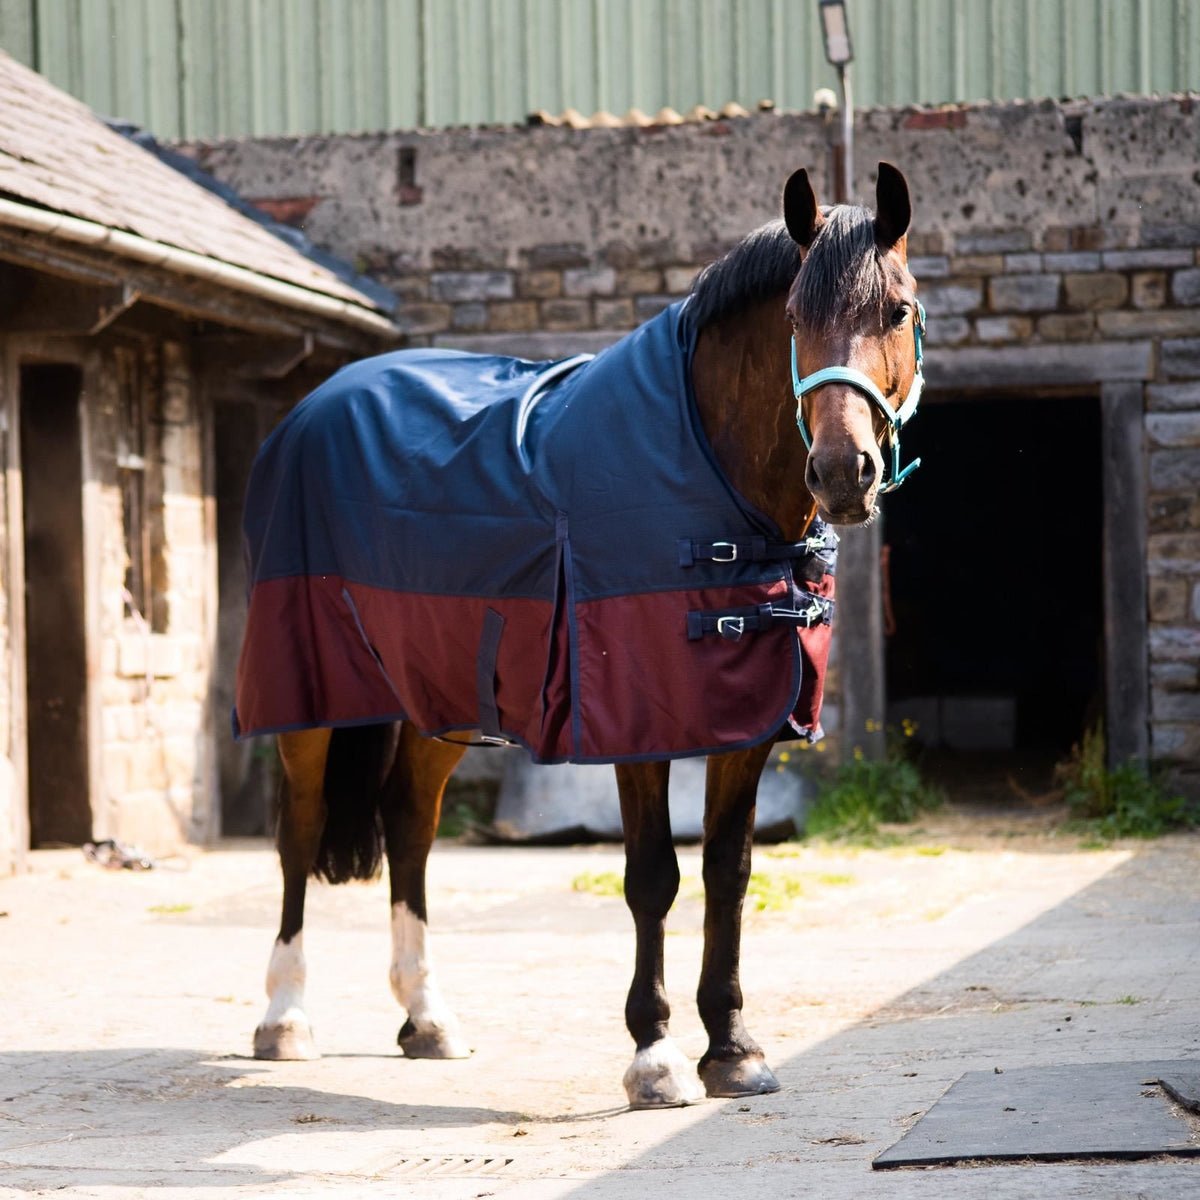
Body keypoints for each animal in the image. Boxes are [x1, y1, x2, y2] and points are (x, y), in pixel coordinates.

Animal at [239, 161, 925, 1108]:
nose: (841, 472)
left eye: (896, 309)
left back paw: (427, 1018)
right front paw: (656, 1056)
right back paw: (284, 1017)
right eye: (793, 318)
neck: (704, 466)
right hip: (308, 695)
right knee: (299, 832)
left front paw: (733, 1048)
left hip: (438, 694)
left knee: (409, 823)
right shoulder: (635, 722)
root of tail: (312, 407)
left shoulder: (747, 722)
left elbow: (728, 871)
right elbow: (653, 877)